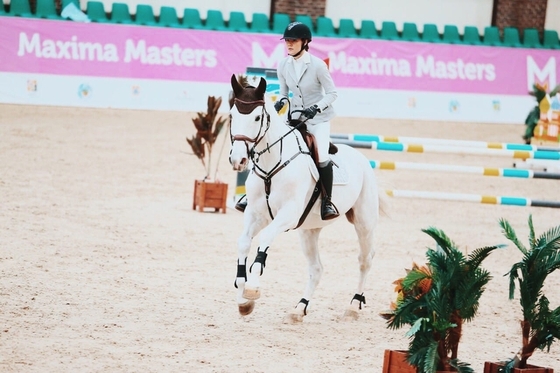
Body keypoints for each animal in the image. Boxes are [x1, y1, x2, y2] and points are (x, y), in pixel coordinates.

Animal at [229, 73, 380, 322]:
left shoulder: (288, 214)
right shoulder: (255, 214)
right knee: (317, 269)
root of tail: (362, 158)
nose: (238, 160)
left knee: (365, 260)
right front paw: (243, 298)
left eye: (257, 117)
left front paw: (252, 287)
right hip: (309, 230)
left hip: (364, 222)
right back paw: (300, 307)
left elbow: (265, 239)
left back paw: (354, 305)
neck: (272, 164)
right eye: (232, 114)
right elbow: (243, 242)